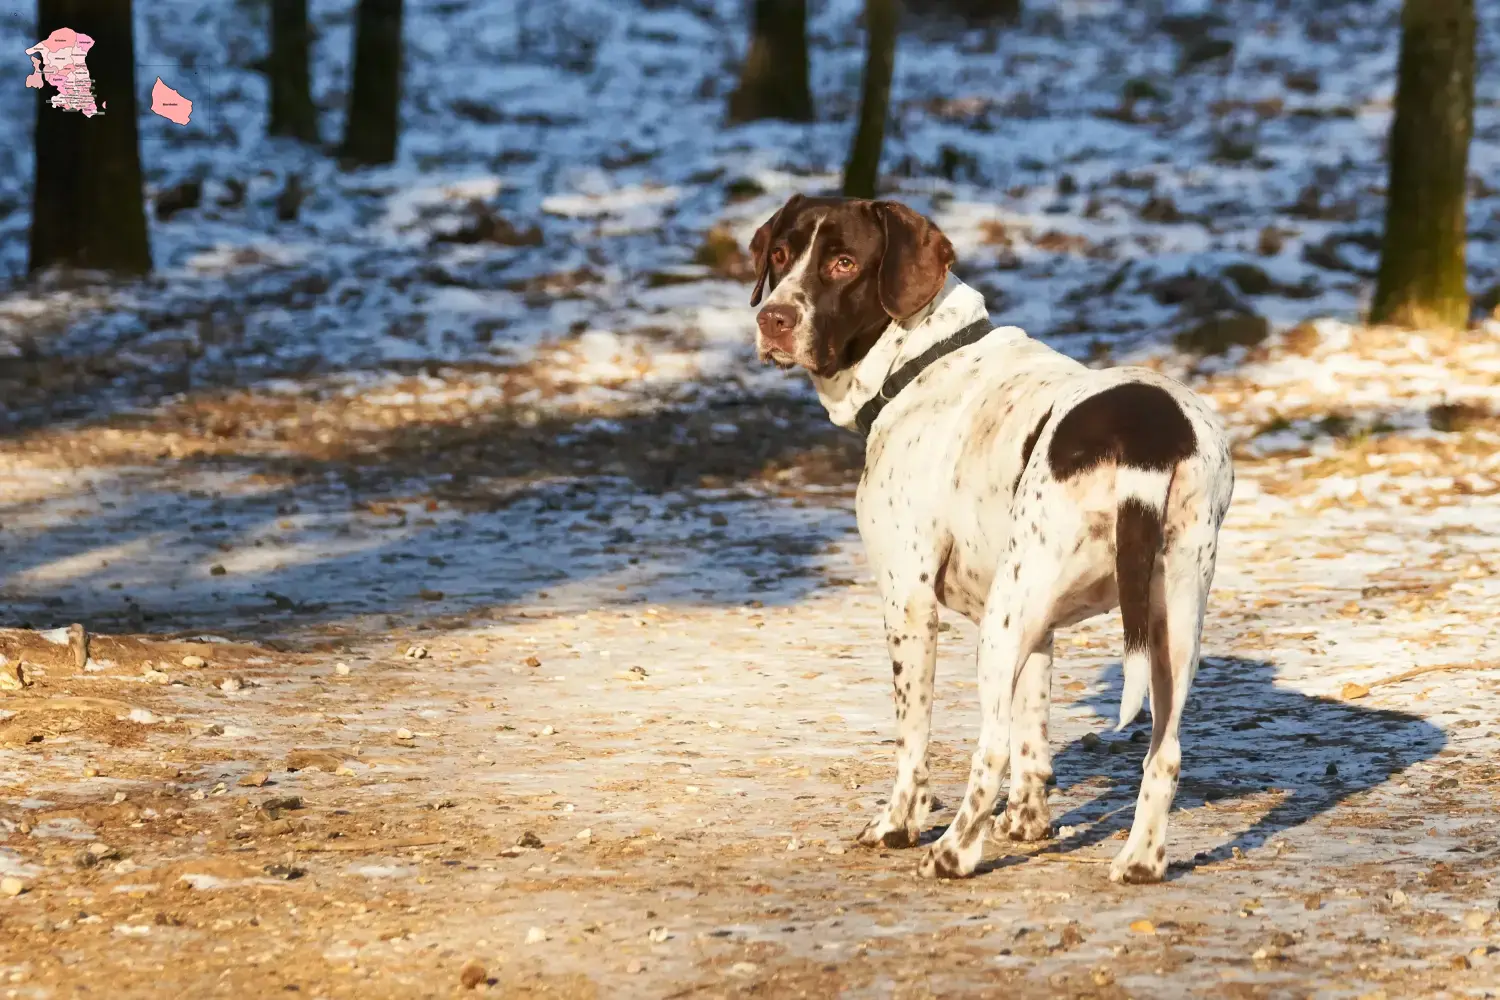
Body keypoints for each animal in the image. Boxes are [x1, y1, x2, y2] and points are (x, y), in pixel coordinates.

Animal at [747, 194, 1230, 881]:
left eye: (843, 262)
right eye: (782, 254)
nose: (774, 318)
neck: (921, 361)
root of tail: (1148, 435)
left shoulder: (908, 601)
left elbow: (915, 738)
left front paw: (898, 826)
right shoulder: (1040, 625)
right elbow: (1034, 731)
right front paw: (1028, 824)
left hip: (1004, 625)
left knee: (990, 748)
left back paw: (950, 855)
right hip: (1165, 622)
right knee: (1163, 754)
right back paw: (1140, 861)